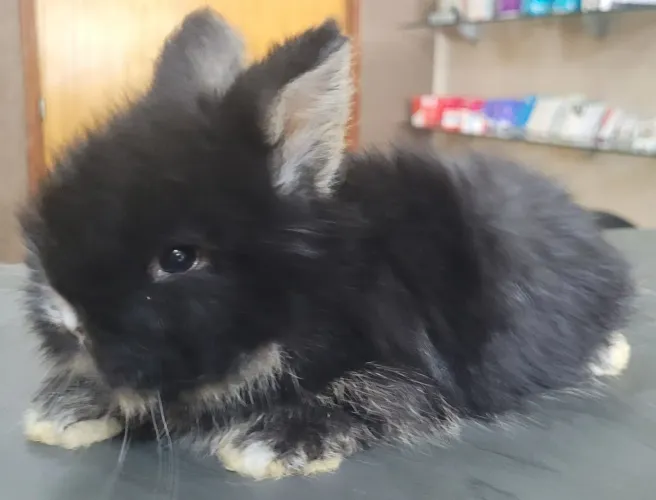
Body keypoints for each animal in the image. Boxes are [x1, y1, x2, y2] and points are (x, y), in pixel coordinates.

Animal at [21, 9, 634, 480]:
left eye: (178, 258)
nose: (66, 318)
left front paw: (270, 443)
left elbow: (368, 390)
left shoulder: (420, 367)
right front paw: (63, 411)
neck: (321, 285)